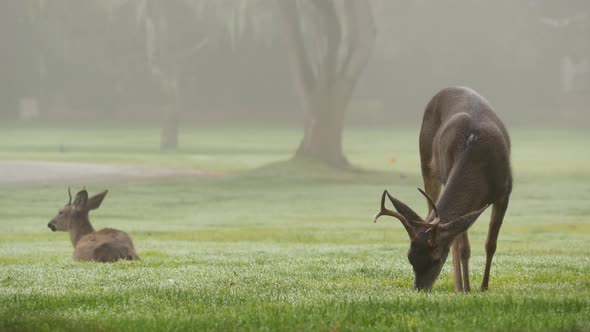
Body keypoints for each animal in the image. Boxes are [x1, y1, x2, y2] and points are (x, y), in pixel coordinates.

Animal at [380, 87, 512, 292]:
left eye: (435, 260)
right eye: (409, 258)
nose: (420, 289)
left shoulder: (505, 191)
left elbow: (490, 244)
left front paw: (483, 287)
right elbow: (463, 248)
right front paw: (466, 289)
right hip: (427, 160)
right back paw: (459, 286)